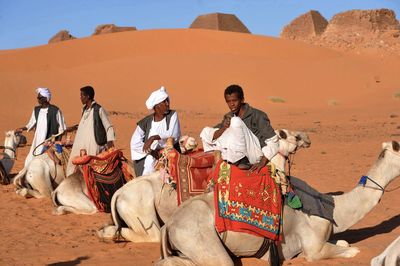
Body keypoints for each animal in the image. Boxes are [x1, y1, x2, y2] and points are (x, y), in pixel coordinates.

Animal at [155, 140, 400, 264]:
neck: (333, 209)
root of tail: (169, 225)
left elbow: (344, 243)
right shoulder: (313, 247)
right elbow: (350, 250)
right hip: (200, 240)